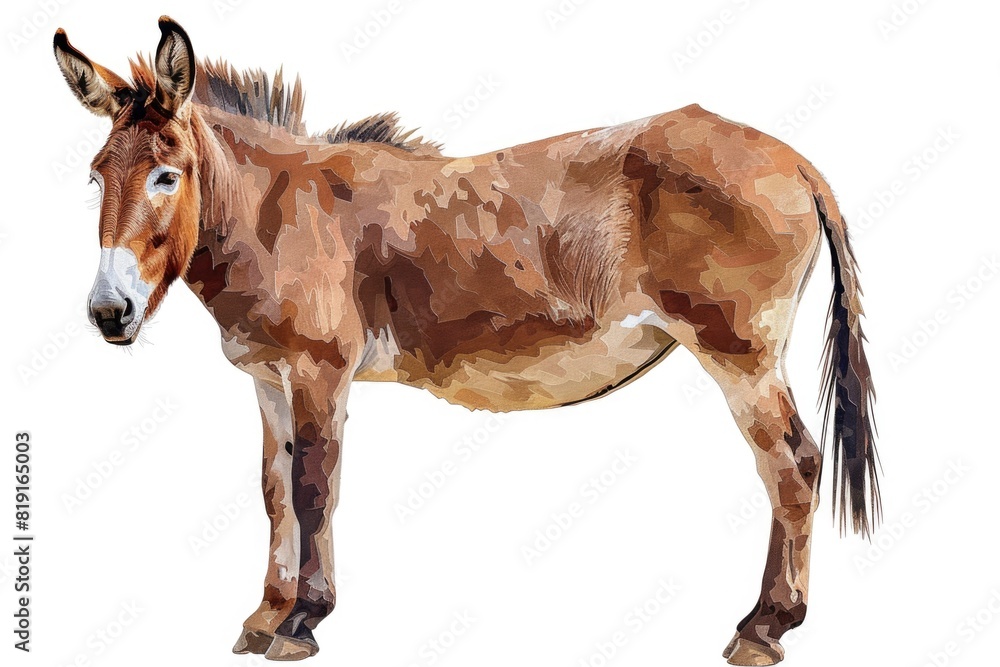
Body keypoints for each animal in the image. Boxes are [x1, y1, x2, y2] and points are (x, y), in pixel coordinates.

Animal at [53, 17, 879, 665]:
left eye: (166, 176)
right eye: (95, 178)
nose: (107, 313)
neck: (271, 214)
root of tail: (798, 161)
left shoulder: (320, 370)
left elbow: (316, 486)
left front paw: (302, 621)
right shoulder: (267, 377)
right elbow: (274, 491)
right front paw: (263, 614)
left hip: (741, 356)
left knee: (794, 465)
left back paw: (764, 627)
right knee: (792, 466)